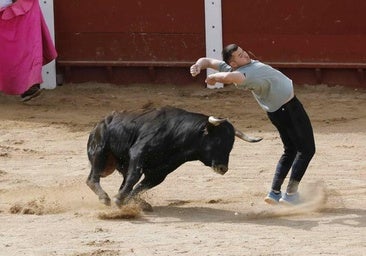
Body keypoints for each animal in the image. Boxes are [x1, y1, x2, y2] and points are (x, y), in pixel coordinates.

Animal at [87, 106, 262, 210]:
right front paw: (118, 200)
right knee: (92, 179)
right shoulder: (138, 152)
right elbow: (134, 177)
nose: (222, 168)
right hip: (100, 151)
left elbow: (141, 186)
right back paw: (105, 198)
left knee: (123, 180)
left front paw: (128, 201)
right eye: (218, 140)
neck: (177, 136)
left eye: (231, 144)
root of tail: (100, 123)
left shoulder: (160, 173)